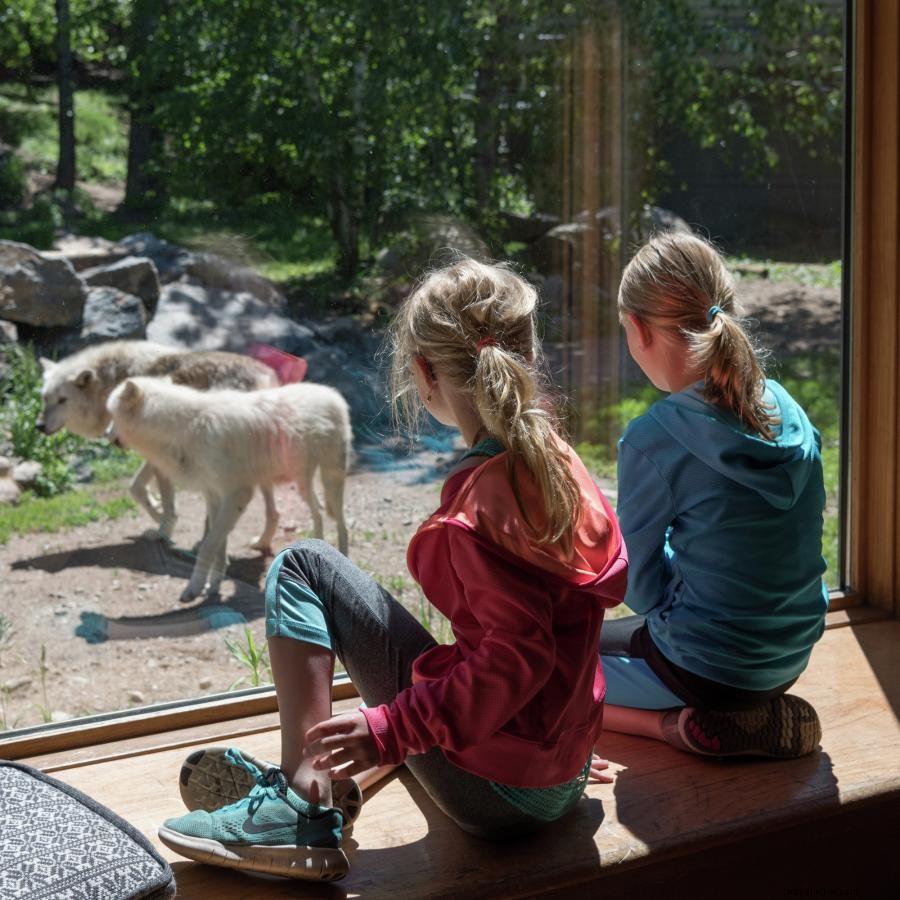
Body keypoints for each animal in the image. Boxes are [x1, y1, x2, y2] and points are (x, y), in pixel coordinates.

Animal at [37, 342, 280, 544]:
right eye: (45, 398)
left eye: (62, 400)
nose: (39, 426)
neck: (113, 380)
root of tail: (266, 377)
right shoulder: (153, 453)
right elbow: (135, 487)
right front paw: (157, 511)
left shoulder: (161, 453)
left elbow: (158, 496)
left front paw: (163, 529)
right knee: (274, 512)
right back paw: (261, 543)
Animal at [107, 376, 354, 600]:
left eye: (111, 415)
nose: (106, 435)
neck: (188, 427)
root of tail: (333, 393)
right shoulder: (214, 496)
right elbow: (219, 546)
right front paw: (213, 585)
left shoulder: (238, 494)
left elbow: (208, 545)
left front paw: (194, 587)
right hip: (302, 482)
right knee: (317, 511)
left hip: (329, 479)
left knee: (340, 524)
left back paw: (342, 561)